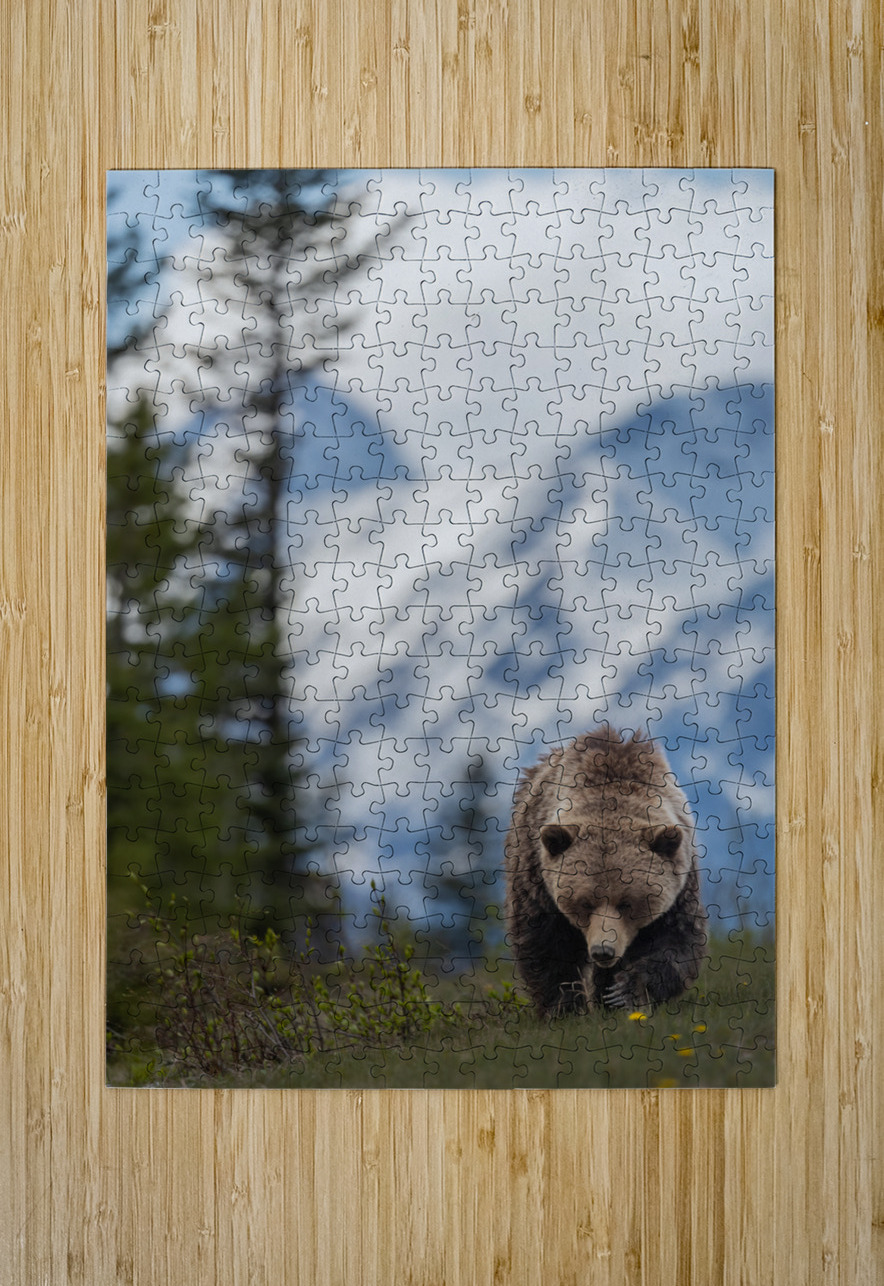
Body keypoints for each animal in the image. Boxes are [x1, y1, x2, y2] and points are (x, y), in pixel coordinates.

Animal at [504, 724, 707, 1014]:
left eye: (627, 903)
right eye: (585, 903)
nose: (603, 951)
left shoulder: (680, 883)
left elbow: (676, 941)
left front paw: (625, 992)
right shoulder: (537, 877)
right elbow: (546, 943)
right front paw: (564, 1007)